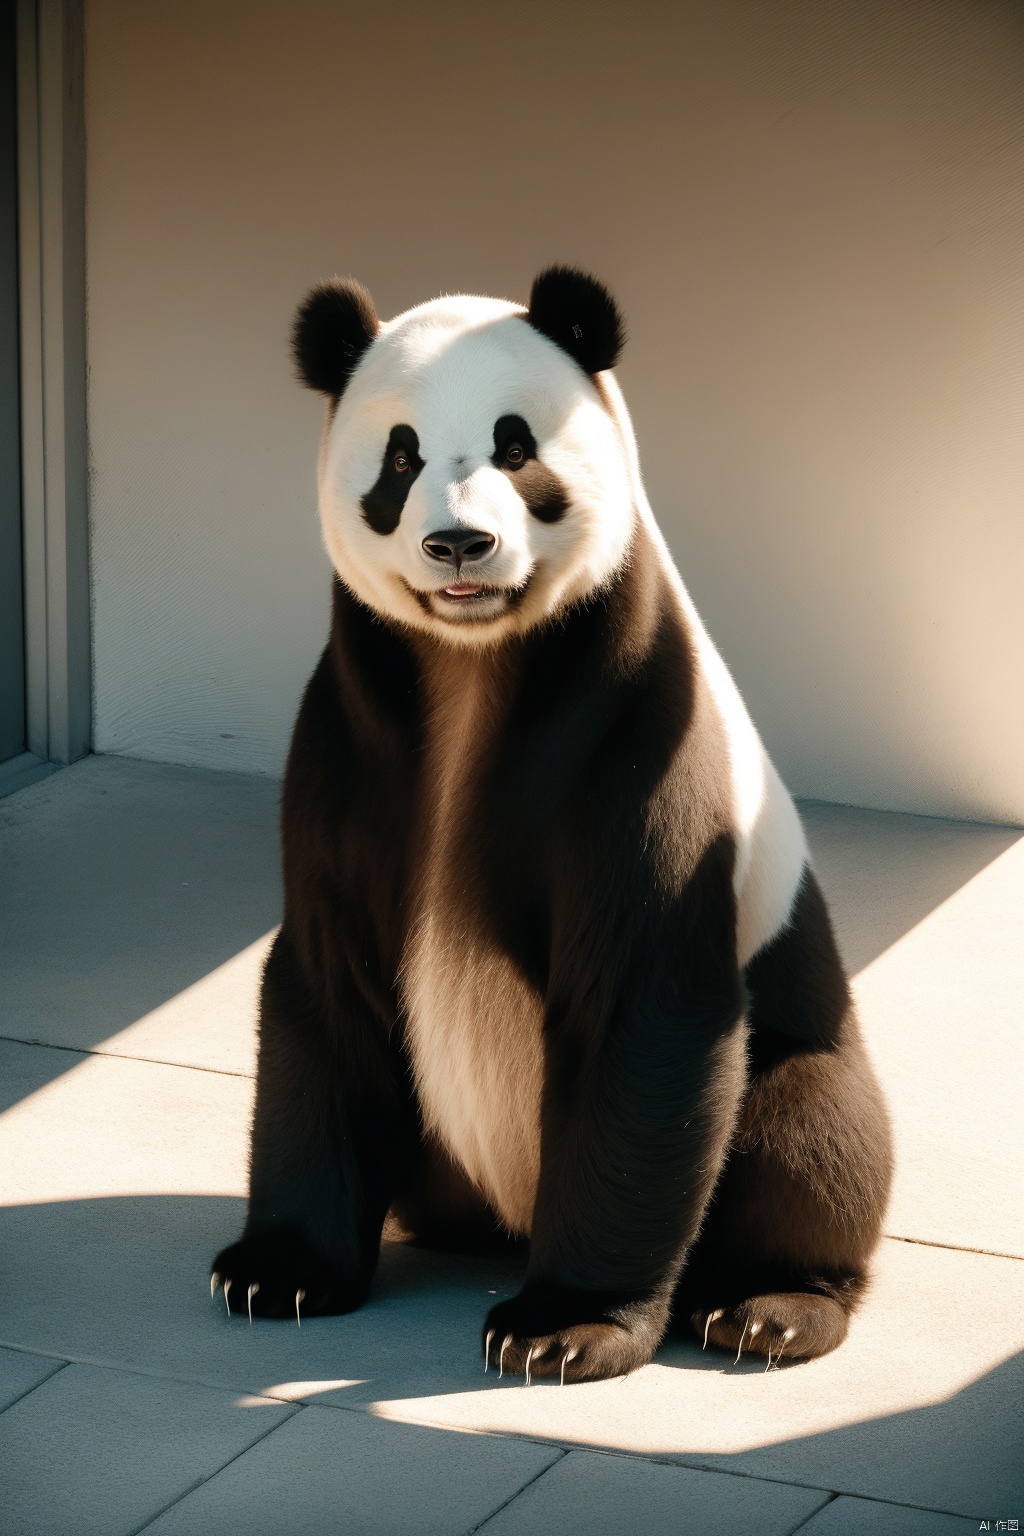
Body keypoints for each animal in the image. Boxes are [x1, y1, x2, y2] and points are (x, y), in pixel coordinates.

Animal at [211, 264, 890, 1382]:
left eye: (516, 446)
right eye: (400, 457)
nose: (459, 543)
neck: (471, 670)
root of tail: (506, 1216)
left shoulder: (634, 729)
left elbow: (642, 1004)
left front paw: (561, 1330)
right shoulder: (350, 743)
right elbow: (323, 978)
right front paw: (278, 1273)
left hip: (793, 1055)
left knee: (811, 1134)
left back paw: (768, 1308)